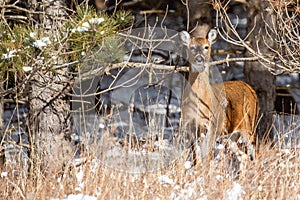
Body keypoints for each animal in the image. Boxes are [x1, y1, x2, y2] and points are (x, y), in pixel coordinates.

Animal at [179, 28, 258, 166]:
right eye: (192, 47)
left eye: (206, 46)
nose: (199, 58)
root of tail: (250, 88)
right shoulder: (189, 127)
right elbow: (197, 159)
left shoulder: (211, 126)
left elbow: (206, 158)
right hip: (230, 135)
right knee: (243, 157)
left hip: (249, 125)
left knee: (256, 154)